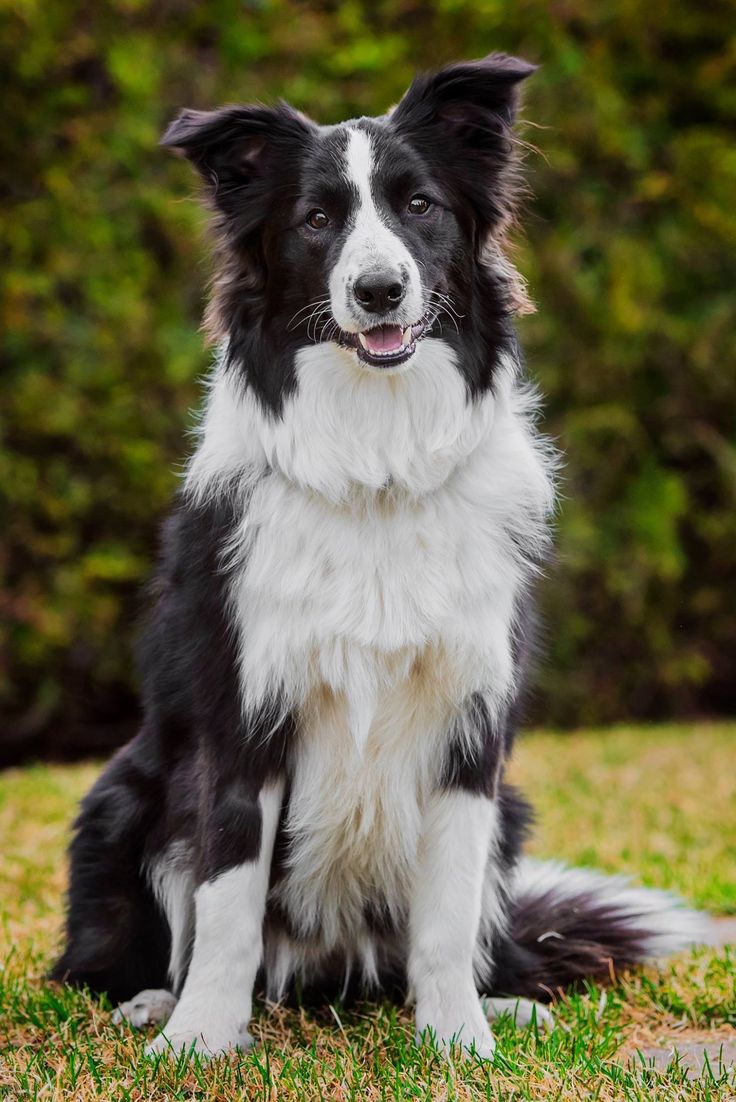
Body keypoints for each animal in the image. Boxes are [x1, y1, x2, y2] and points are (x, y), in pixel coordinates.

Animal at [51, 53, 705, 1057]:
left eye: (419, 206)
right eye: (317, 220)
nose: (379, 292)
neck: (377, 463)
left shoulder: (471, 728)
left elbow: (444, 915)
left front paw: (459, 1041)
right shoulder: (241, 720)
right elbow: (227, 901)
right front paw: (200, 1040)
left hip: (511, 814)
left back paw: (504, 1001)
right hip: (122, 796)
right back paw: (156, 1000)